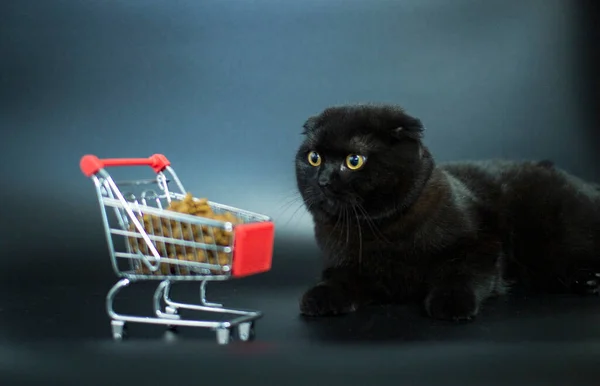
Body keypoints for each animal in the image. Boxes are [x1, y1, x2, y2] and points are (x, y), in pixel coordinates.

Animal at [296, 104, 600, 322]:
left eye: (354, 161)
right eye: (314, 158)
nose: (323, 180)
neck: (377, 231)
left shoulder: (483, 244)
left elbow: (461, 272)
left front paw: (451, 303)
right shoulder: (344, 264)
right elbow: (338, 279)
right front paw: (320, 297)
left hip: (557, 236)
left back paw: (589, 280)